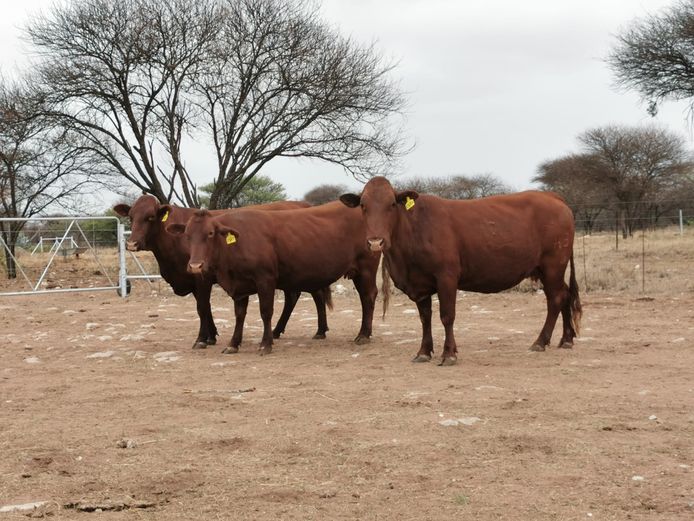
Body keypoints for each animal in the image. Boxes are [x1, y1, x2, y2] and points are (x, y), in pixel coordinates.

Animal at [114, 195, 332, 350]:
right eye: (131, 217)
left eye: (150, 217)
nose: (132, 243)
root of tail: (304, 204)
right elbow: (206, 308)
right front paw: (211, 336)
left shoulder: (201, 276)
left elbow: (202, 307)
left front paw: (201, 339)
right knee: (302, 295)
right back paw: (289, 330)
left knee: (310, 295)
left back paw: (314, 330)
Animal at [166, 201, 380, 356]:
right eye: (187, 235)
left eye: (210, 233)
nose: (195, 266)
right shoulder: (240, 286)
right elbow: (239, 315)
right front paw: (233, 344)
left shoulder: (265, 280)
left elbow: (266, 312)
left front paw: (265, 344)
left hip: (366, 270)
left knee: (368, 297)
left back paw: (363, 334)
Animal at [342, 177, 580, 364]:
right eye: (362, 205)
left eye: (392, 204)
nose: (375, 242)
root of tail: (551, 196)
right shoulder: (419, 284)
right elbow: (425, 318)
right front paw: (423, 352)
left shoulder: (447, 277)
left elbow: (447, 316)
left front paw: (449, 354)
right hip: (546, 269)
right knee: (565, 294)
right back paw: (566, 339)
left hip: (553, 265)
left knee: (555, 299)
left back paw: (541, 341)